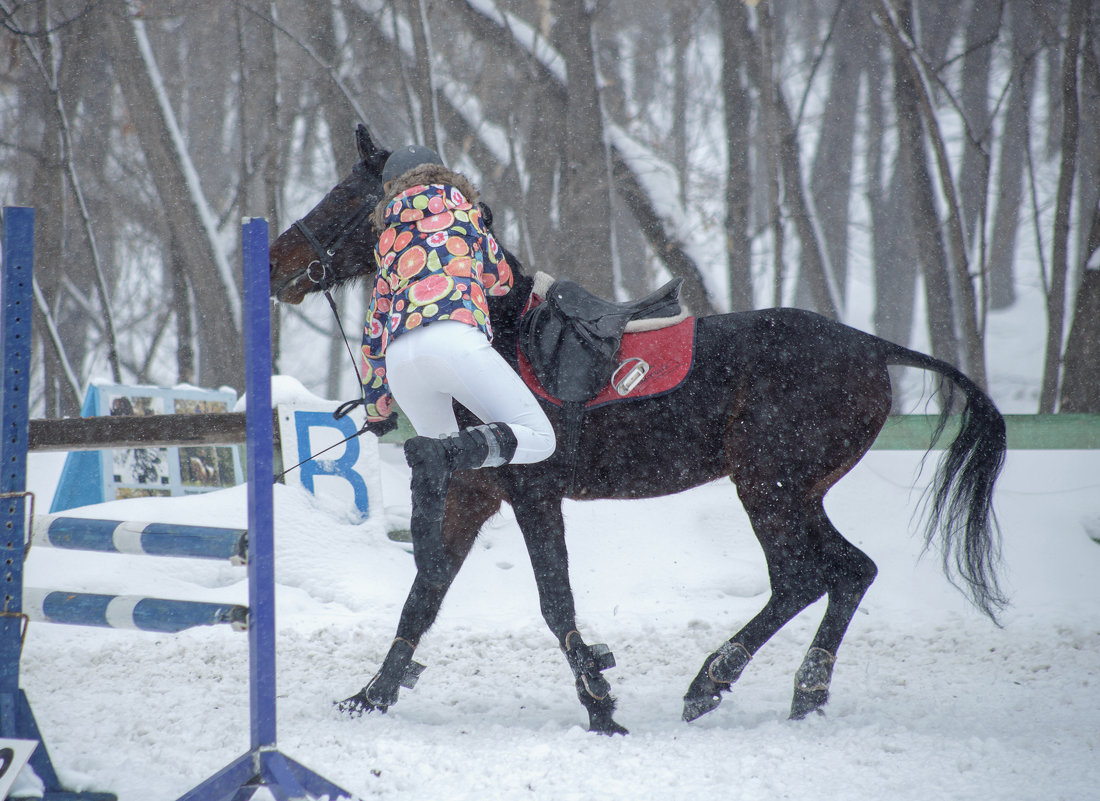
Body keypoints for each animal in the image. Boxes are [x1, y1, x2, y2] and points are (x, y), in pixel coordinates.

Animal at [266, 123, 1007, 730]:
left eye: (343, 197)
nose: (276, 262)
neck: (497, 333)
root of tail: (871, 347)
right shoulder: (476, 494)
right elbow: (425, 593)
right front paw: (371, 694)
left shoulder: (534, 492)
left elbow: (555, 601)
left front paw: (598, 703)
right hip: (795, 490)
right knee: (847, 572)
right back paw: (800, 688)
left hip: (769, 485)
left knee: (804, 576)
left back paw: (715, 678)